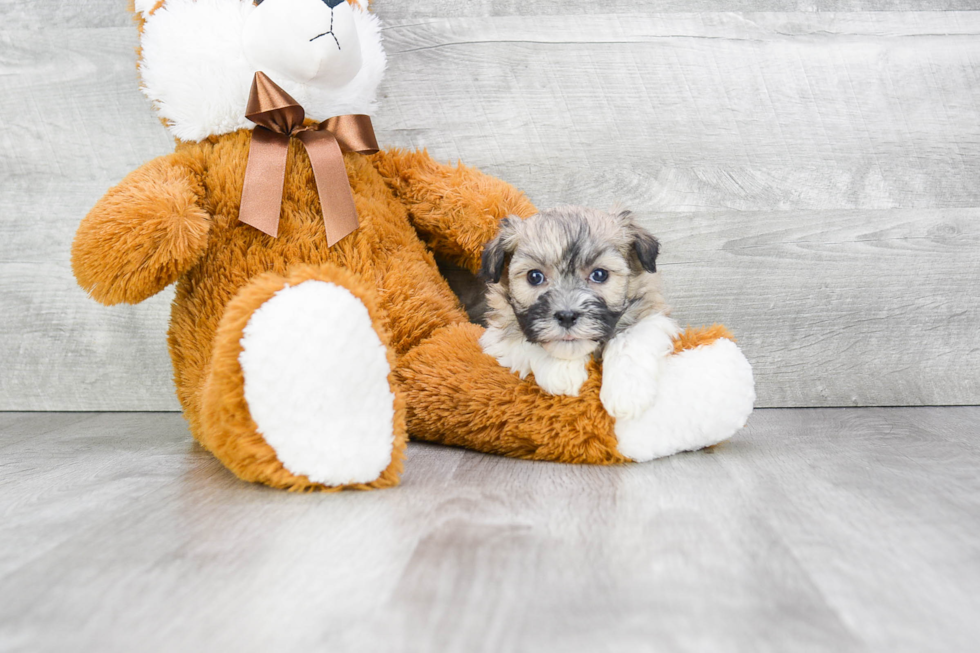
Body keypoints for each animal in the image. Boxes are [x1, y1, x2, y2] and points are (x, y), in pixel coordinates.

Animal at [476, 205, 676, 418]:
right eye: (534, 276)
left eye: (599, 274)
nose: (567, 316)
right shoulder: (497, 333)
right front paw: (561, 369)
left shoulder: (652, 314)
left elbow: (629, 338)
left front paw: (627, 392)